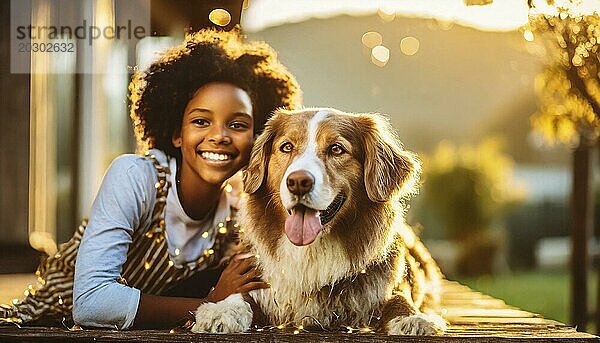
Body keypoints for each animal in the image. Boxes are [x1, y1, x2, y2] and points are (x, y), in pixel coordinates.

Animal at [192, 108, 446, 336]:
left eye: (336, 149)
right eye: (287, 147)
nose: (298, 182)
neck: (310, 250)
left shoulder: (384, 286)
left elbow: (399, 298)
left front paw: (412, 318)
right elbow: (240, 294)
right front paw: (221, 310)